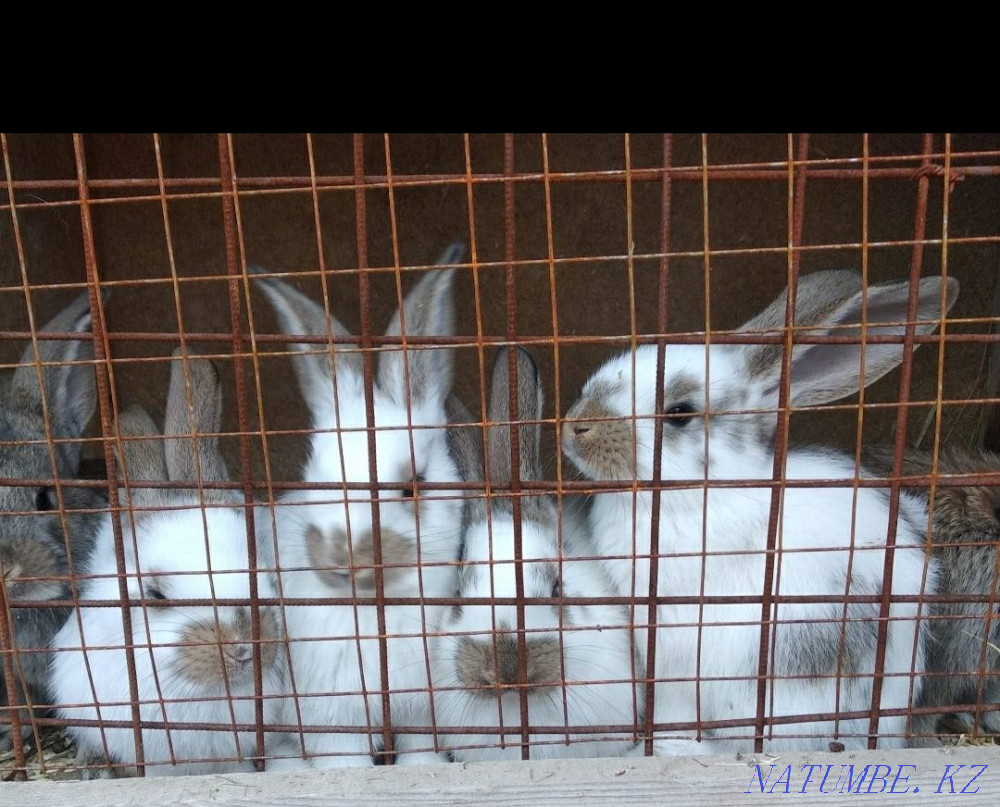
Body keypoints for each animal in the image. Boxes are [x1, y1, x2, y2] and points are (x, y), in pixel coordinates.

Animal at [251, 244, 466, 768]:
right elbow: (341, 763)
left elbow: (419, 752)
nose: (342, 555)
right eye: (316, 479)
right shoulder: (332, 716)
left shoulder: (420, 710)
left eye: (412, 487)